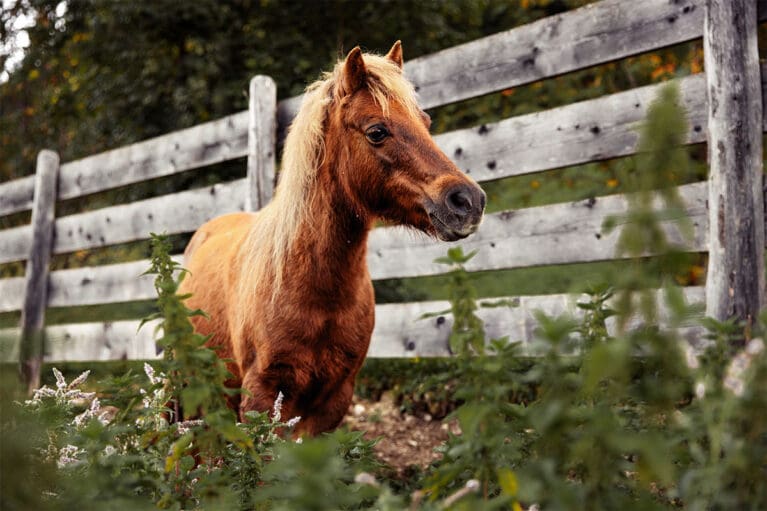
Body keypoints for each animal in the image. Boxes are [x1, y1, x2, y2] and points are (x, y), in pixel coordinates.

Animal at [178, 42, 486, 438]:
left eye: (426, 122)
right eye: (377, 131)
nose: (468, 201)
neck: (314, 288)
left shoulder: (333, 401)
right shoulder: (262, 398)